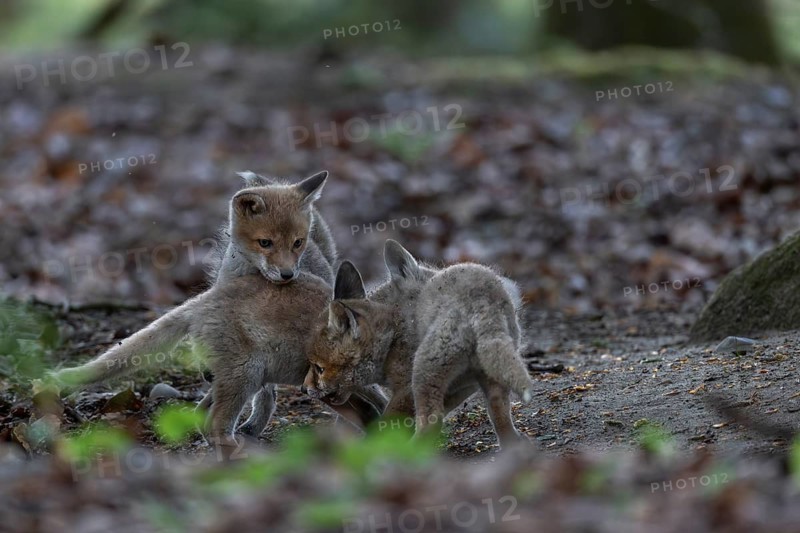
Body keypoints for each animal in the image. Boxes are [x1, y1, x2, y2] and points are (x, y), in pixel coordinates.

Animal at [303, 240, 534, 448]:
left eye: (320, 368)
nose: (305, 389)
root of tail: (483, 303)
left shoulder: (406, 387)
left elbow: (388, 422)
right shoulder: (463, 385)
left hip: (423, 372)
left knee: (433, 421)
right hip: (491, 375)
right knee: (499, 413)